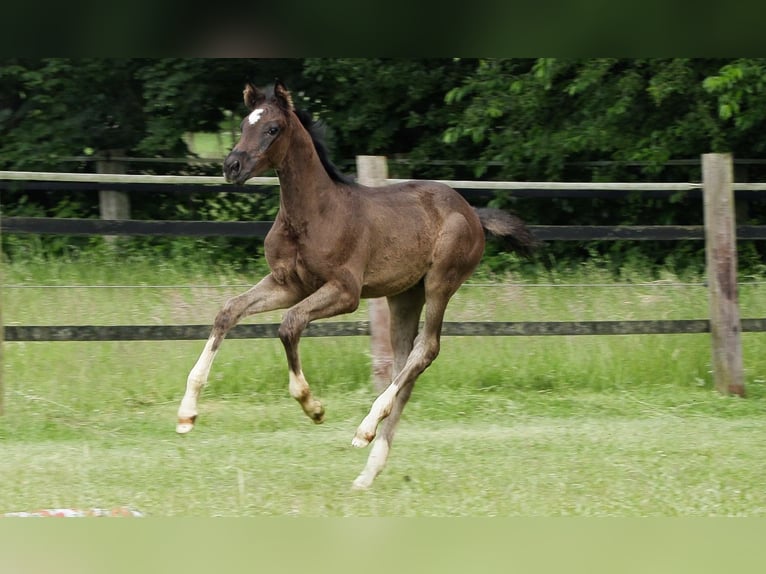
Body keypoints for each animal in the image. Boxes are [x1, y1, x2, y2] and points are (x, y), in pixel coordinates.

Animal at [176, 82, 536, 490]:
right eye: (241, 125)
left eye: (272, 129)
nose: (231, 166)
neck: (313, 214)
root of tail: (473, 212)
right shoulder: (288, 283)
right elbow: (229, 311)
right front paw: (186, 414)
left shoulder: (345, 292)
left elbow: (289, 325)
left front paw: (313, 407)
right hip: (404, 294)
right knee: (405, 362)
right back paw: (369, 469)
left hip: (440, 283)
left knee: (426, 350)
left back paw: (364, 431)